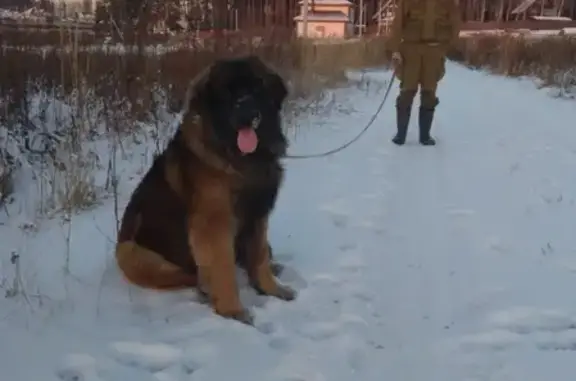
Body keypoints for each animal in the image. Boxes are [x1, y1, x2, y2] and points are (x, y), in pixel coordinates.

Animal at [116, 56, 296, 324]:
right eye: (227, 94)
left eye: (256, 89)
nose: (247, 113)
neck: (238, 158)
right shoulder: (213, 223)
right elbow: (223, 267)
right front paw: (232, 310)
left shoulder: (258, 214)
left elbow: (260, 254)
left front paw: (272, 288)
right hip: (130, 251)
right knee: (189, 275)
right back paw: (205, 287)